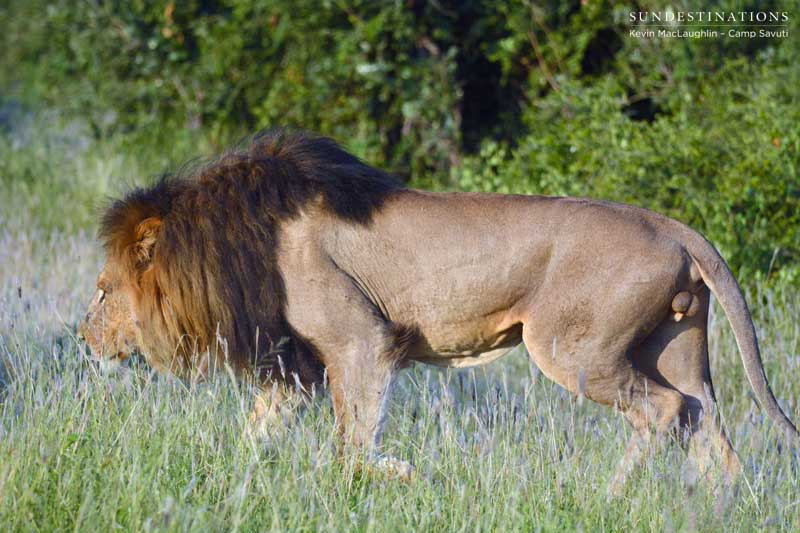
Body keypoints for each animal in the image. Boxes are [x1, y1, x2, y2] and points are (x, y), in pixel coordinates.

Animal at [78, 129, 798, 490]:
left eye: (104, 289)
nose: (82, 339)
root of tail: (674, 225)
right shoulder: (293, 365)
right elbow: (255, 434)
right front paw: (229, 476)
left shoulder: (360, 342)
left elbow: (351, 445)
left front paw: (402, 475)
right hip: (677, 346)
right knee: (706, 418)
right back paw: (723, 504)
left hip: (573, 349)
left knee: (667, 411)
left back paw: (608, 495)